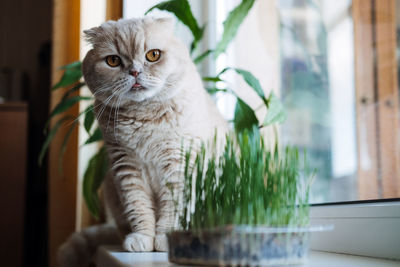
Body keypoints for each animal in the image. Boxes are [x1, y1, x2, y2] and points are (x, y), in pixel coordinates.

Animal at [58, 17, 230, 267]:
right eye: (113, 61)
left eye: (153, 55)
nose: (135, 71)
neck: (143, 117)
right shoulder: (126, 167)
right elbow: (138, 207)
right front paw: (143, 239)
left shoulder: (177, 165)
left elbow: (173, 207)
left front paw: (166, 239)